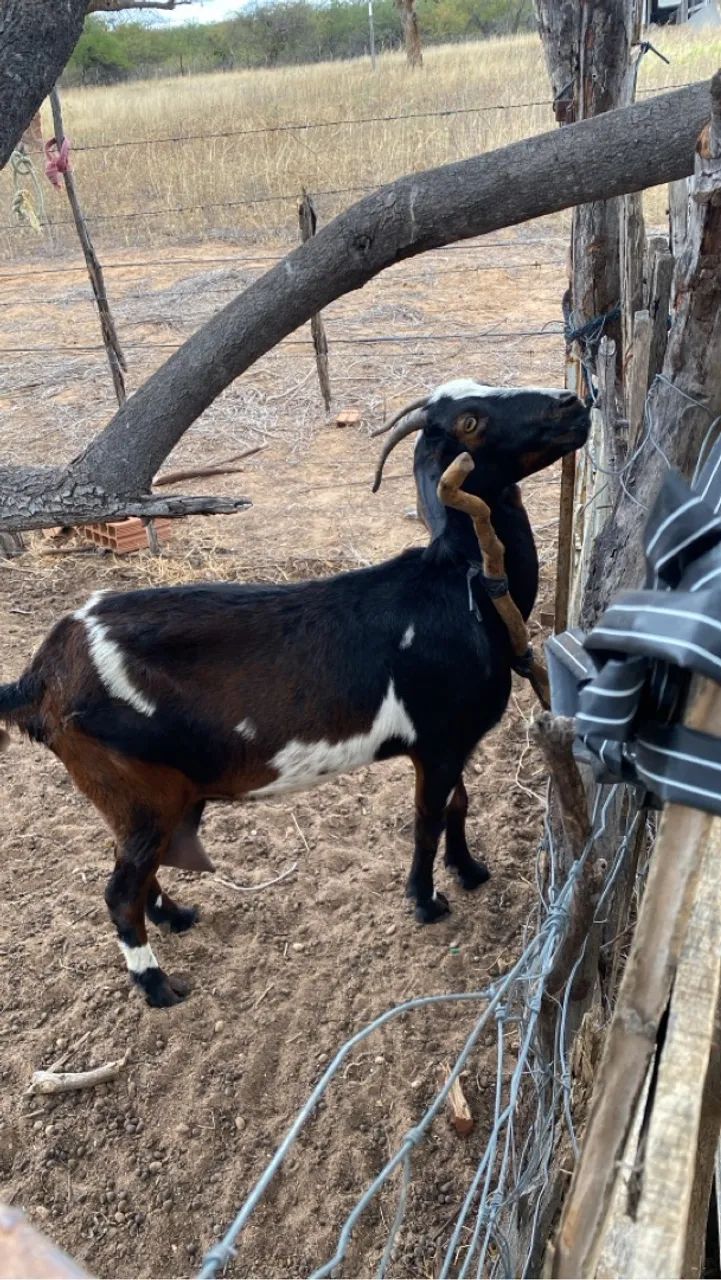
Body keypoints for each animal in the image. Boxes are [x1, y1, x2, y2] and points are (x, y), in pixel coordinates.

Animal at [0, 380, 589, 1007]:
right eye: (470, 422)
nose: (571, 403)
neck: (463, 588)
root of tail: (41, 676)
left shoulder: (456, 742)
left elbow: (460, 804)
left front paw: (471, 872)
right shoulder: (437, 742)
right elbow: (429, 818)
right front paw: (428, 902)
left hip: (143, 796)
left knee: (136, 869)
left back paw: (177, 917)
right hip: (137, 790)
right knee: (119, 891)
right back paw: (159, 986)